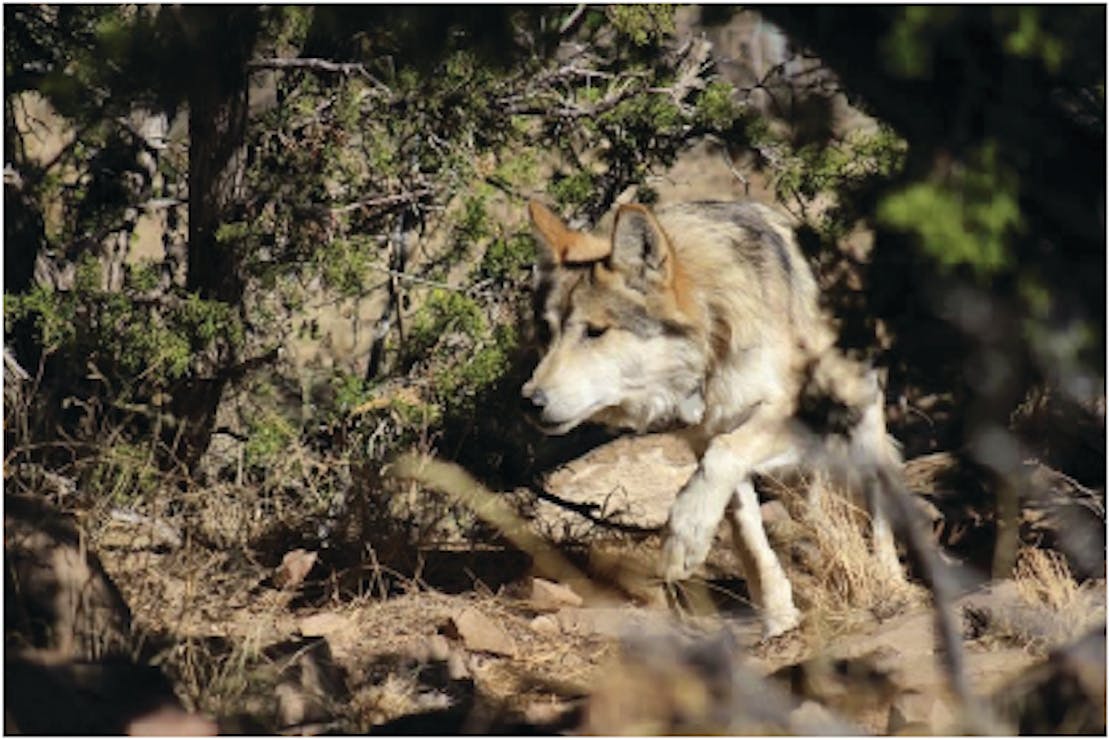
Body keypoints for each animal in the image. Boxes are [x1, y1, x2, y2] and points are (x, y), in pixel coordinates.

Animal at [523, 199, 905, 639]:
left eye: (595, 332)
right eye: (546, 333)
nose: (529, 401)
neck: (713, 327)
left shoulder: (790, 413)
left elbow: (723, 458)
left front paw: (683, 539)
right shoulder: (708, 435)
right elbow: (743, 529)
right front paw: (778, 615)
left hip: (857, 410)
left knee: (877, 495)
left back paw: (890, 579)